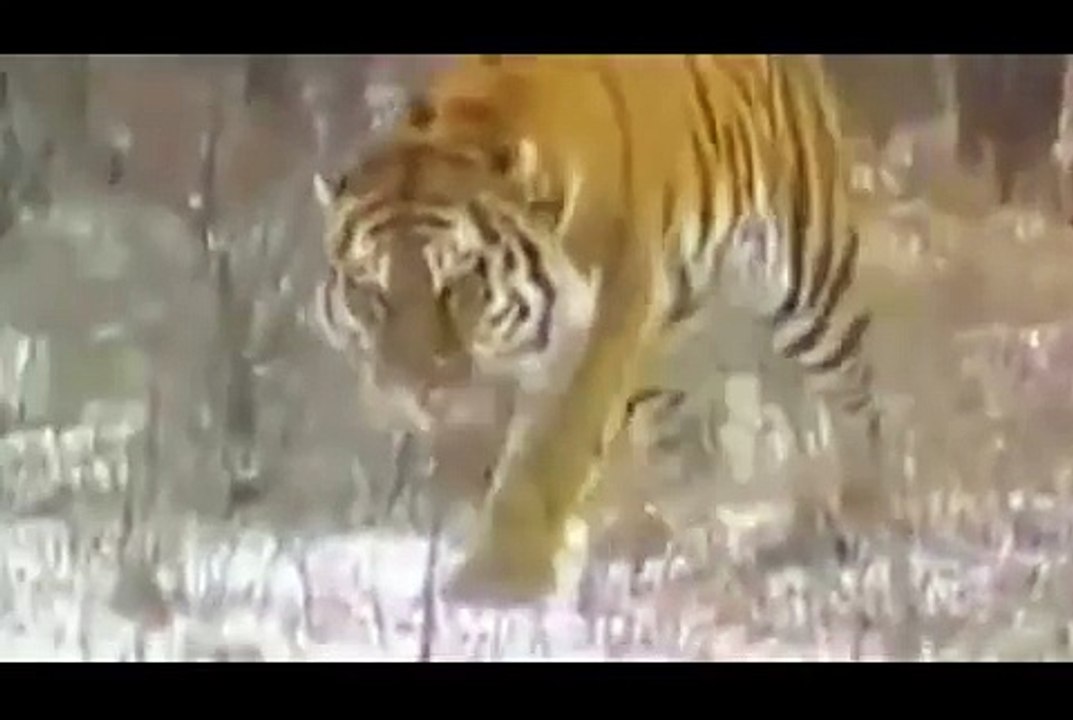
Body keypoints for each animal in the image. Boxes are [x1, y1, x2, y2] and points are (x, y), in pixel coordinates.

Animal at [312, 54, 887, 606]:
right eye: (368, 290)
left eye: (457, 283)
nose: (413, 387)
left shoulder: (593, 334)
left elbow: (546, 457)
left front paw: (498, 582)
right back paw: (644, 538)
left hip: (811, 284)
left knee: (851, 393)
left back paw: (861, 518)